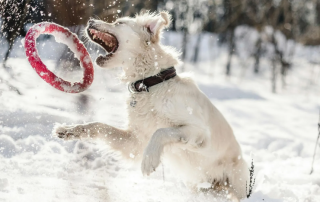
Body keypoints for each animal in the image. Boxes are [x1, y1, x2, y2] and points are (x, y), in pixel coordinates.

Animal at [54, 11, 250, 202]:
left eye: (119, 23)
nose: (90, 20)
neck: (151, 84)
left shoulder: (200, 132)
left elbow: (162, 131)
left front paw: (149, 161)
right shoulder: (135, 141)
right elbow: (98, 126)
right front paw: (69, 130)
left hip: (237, 182)